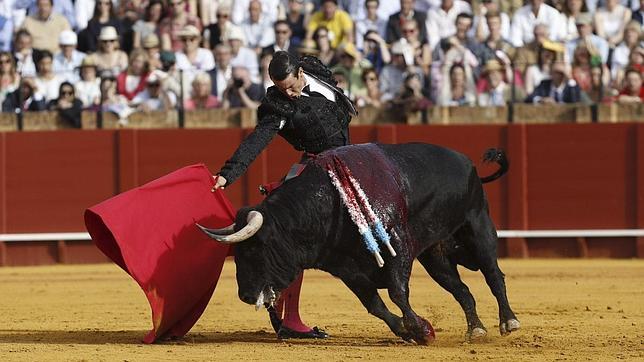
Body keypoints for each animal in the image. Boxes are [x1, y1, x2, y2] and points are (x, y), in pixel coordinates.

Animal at [199, 143, 520, 344]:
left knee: (494, 275)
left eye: (254, 249)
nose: (244, 295)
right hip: (436, 255)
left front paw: (422, 330)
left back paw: (509, 321)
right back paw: (476, 330)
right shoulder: (348, 269)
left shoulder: (397, 247)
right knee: (462, 289)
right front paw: (407, 331)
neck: (330, 204)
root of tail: (468, 163)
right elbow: (374, 305)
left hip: (479, 228)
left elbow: (397, 292)